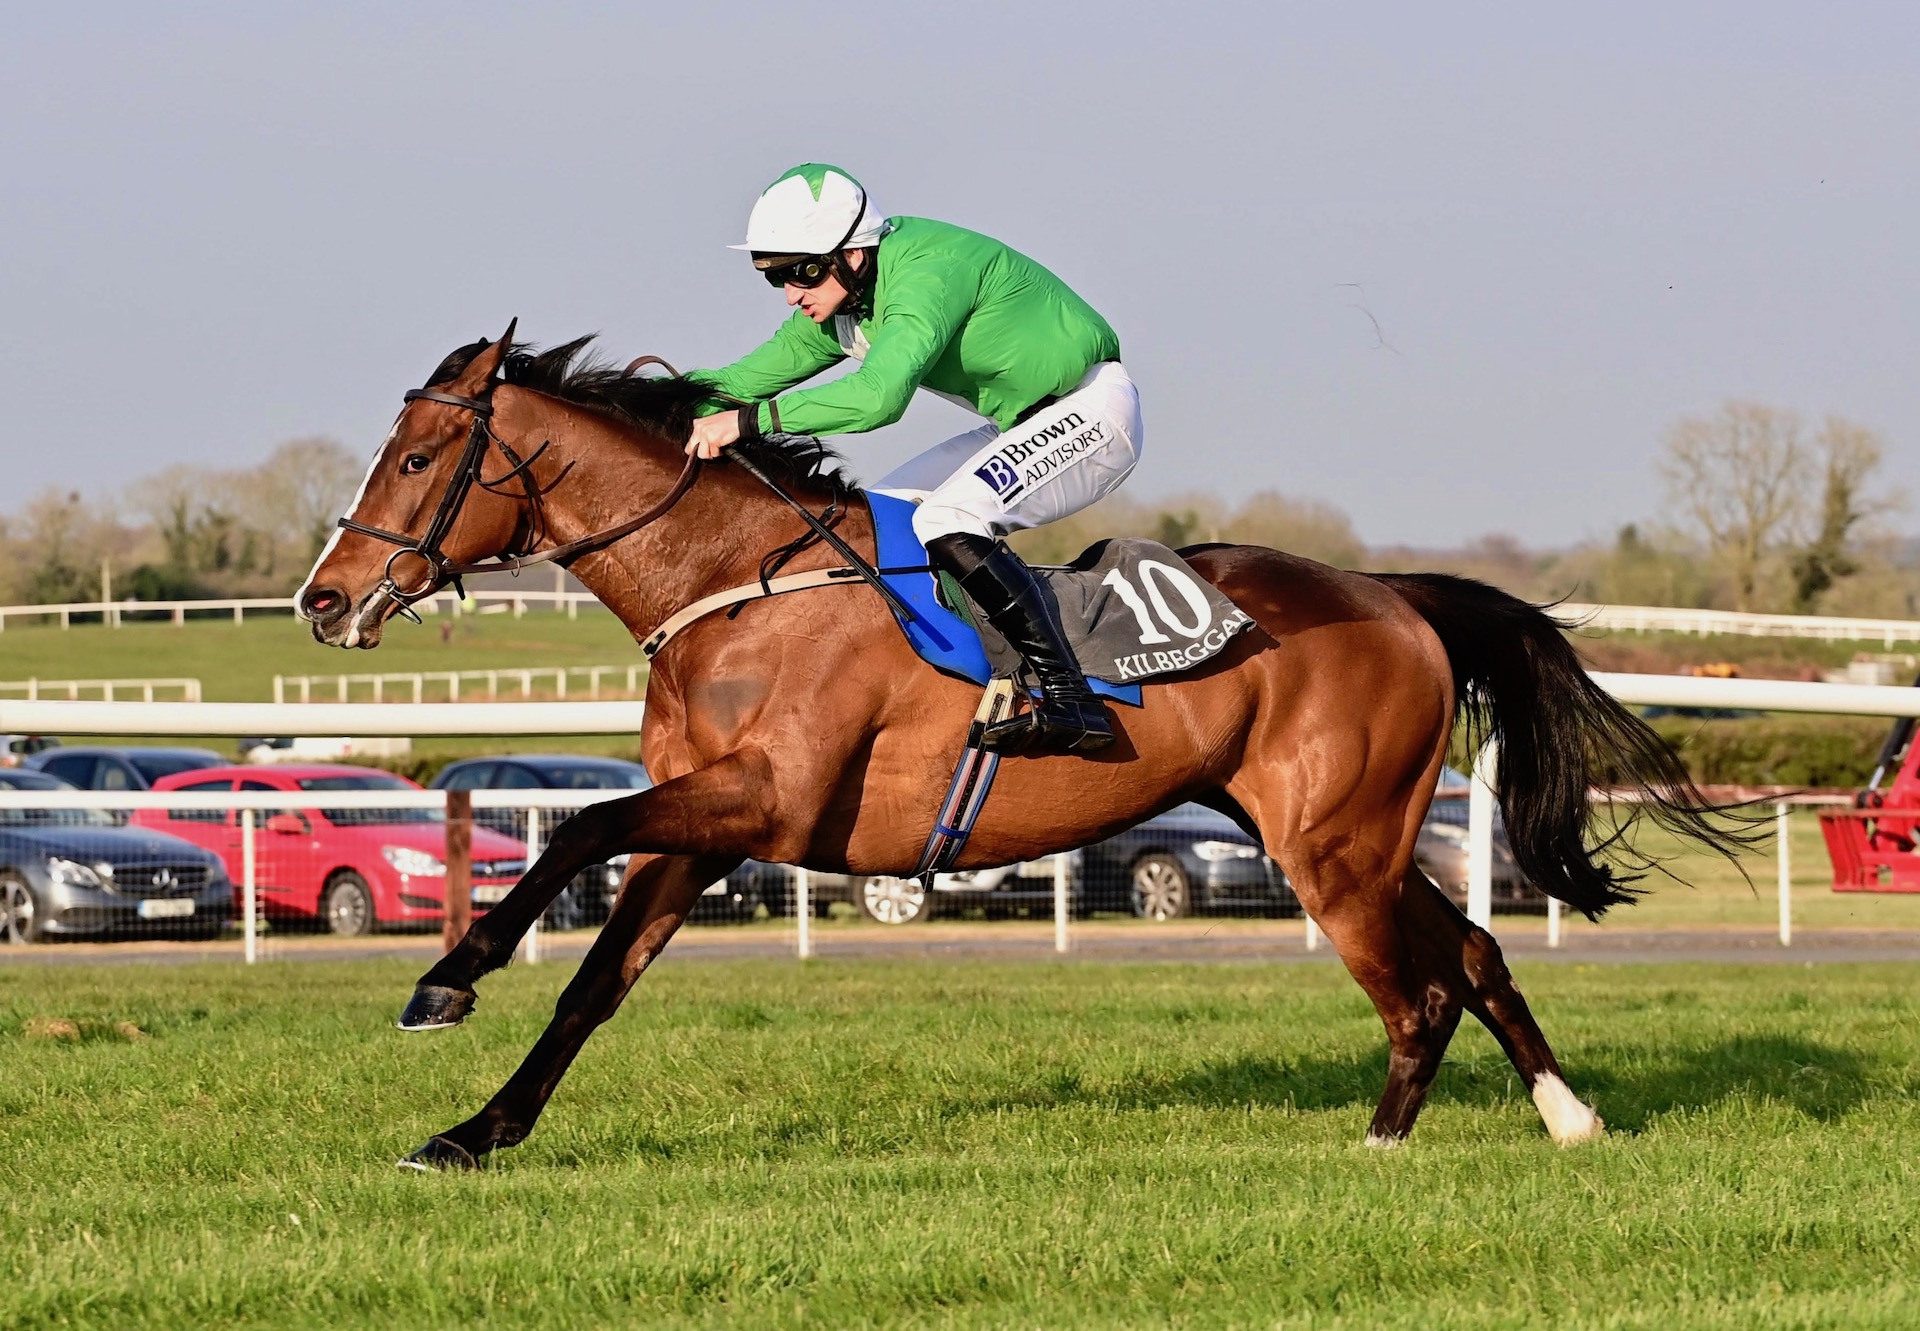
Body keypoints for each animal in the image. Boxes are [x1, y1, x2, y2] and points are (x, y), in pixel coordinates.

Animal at [291, 324, 1751, 1160]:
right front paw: (477, 1130)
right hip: (1351, 836)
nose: (319, 597)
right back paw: (1570, 1116)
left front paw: (449, 975)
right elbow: (596, 981)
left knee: (1418, 992)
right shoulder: (704, 823)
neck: (738, 586)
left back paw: (1382, 1146)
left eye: (416, 459)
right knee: (1477, 952)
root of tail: (1395, 593)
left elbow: (582, 827)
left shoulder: (759, 800)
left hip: (1333, 847)